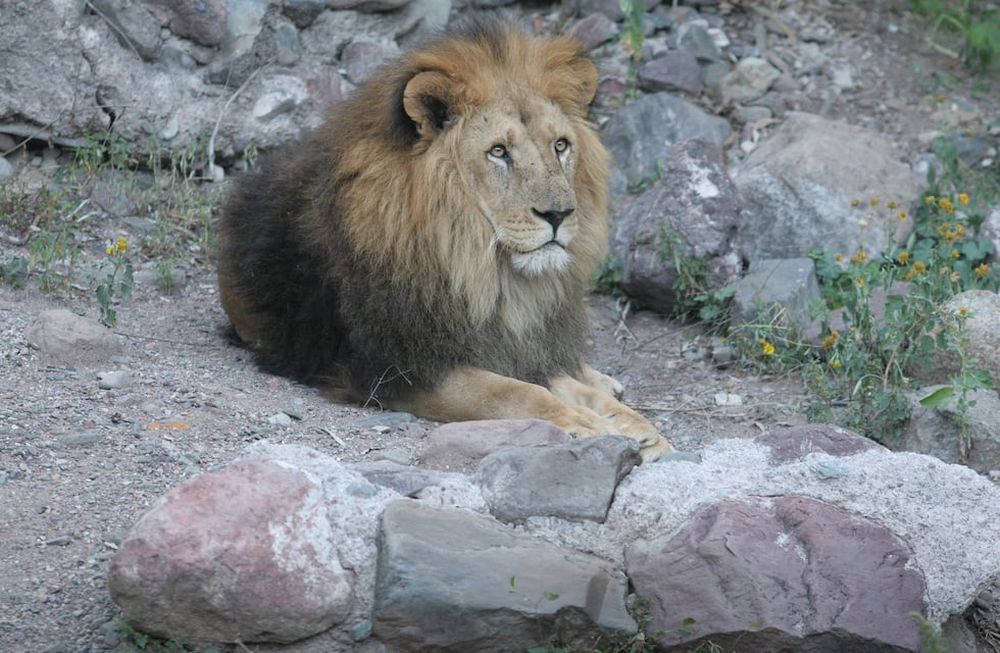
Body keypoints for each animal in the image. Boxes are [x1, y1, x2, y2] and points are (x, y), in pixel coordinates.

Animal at [217, 19, 672, 461]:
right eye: (499, 152)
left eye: (560, 146)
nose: (559, 214)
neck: (485, 272)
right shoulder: (400, 368)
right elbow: (512, 392)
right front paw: (586, 423)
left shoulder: (515, 343)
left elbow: (564, 383)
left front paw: (634, 425)